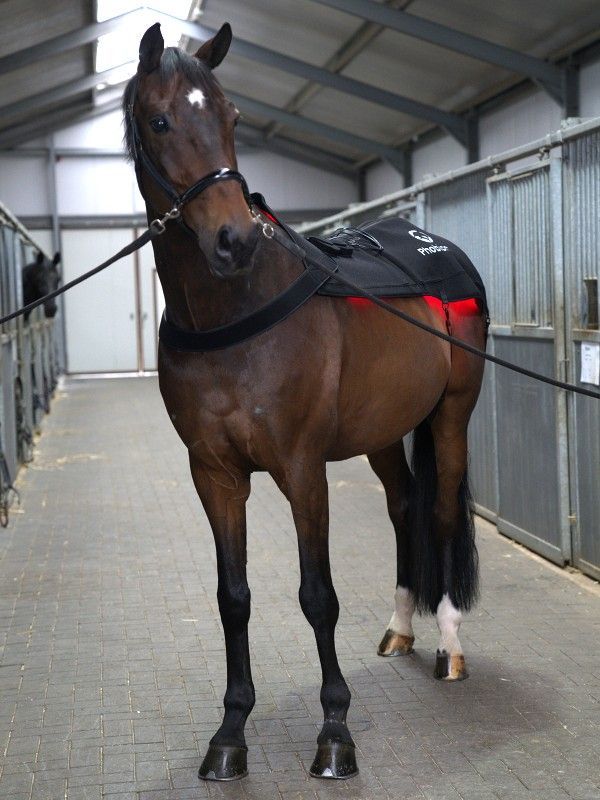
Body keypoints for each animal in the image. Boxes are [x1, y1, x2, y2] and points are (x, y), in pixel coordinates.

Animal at [123, 22, 487, 782]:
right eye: (160, 121)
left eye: (232, 117)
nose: (232, 240)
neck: (235, 310)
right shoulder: (215, 475)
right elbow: (234, 598)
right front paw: (230, 734)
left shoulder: (302, 468)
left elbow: (317, 595)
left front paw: (335, 733)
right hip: (384, 432)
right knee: (403, 507)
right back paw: (400, 628)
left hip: (452, 414)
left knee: (440, 512)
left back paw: (448, 645)